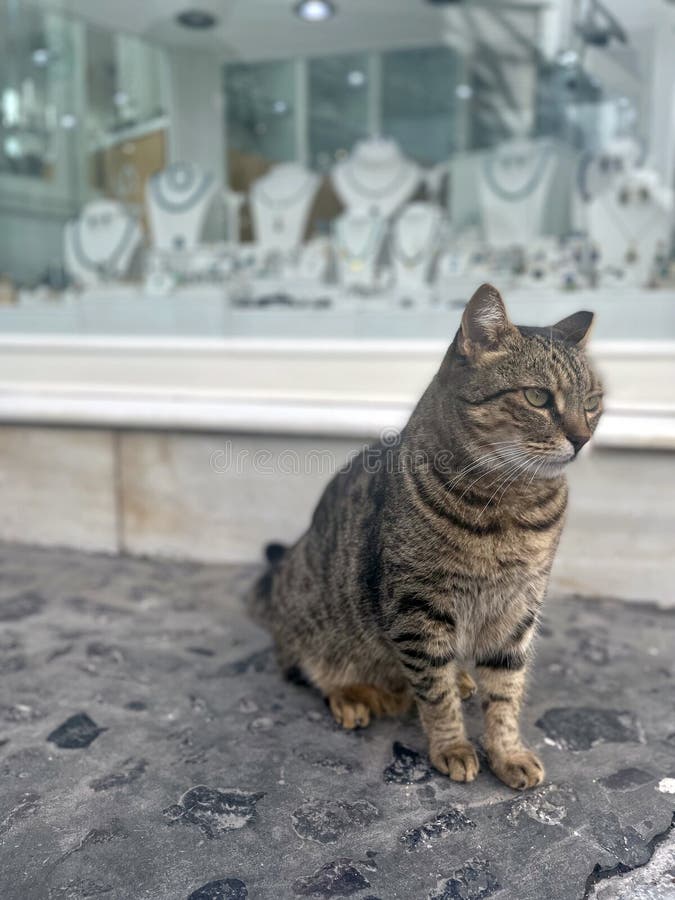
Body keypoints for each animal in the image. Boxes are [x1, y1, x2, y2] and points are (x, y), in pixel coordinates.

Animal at [251, 284, 604, 792]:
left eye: (592, 401)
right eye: (538, 397)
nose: (582, 439)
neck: (511, 508)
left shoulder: (518, 609)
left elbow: (506, 693)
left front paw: (508, 753)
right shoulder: (418, 609)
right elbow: (435, 695)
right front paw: (452, 747)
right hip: (314, 616)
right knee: (307, 667)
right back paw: (351, 696)